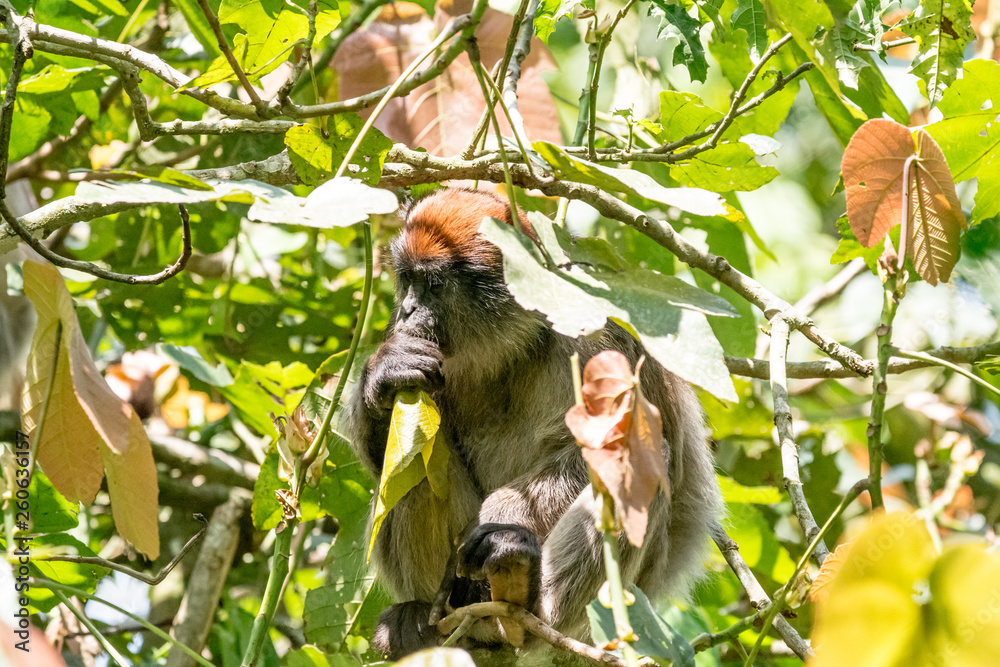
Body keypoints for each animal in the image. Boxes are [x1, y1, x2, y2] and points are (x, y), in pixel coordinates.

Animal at [347, 188, 723, 660]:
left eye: (433, 286)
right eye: (408, 281)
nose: (409, 310)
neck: (514, 348)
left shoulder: (598, 335)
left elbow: (624, 442)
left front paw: (503, 513)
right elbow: (386, 451)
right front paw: (383, 374)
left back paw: (528, 596)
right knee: (413, 460)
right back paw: (426, 620)